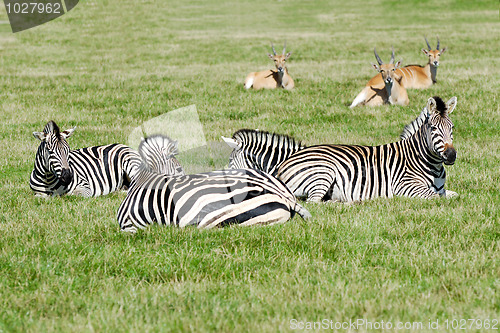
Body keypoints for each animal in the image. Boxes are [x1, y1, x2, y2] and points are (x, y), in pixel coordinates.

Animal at [225, 94, 458, 201]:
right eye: (434, 128)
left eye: (452, 127)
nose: (451, 155)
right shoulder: (405, 187)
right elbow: (438, 199)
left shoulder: (441, 189)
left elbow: (453, 196)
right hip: (323, 172)